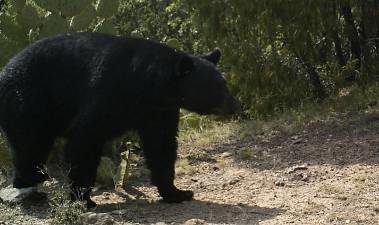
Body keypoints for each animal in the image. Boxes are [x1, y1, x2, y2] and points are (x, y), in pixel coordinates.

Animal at [0, 32, 240, 207]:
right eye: (217, 87)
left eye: (223, 83)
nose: (236, 105)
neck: (151, 86)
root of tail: (4, 71)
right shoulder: (108, 91)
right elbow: (85, 136)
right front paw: (83, 199)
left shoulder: (160, 112)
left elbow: (161, 146)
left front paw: (177, 192)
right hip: (27, 99)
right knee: (30, 144)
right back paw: (31, 184)